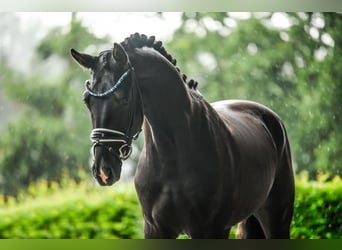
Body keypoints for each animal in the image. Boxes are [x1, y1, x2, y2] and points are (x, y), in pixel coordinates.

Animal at [70, 33, 294, 238]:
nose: (103, 170)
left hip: (276, 218)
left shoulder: (211, 230)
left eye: (123, 99)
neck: (172, 156)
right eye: (86, 100)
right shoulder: (155, 229)